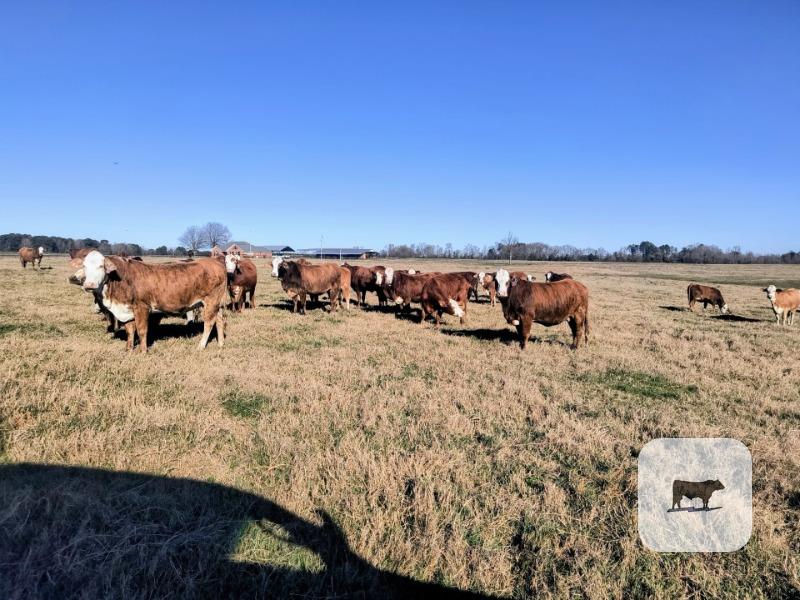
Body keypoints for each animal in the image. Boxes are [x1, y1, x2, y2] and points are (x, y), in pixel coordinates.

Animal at [69, 250, 228, 352]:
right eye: (84, 266)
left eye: (101, 266)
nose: (89, 285)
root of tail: (215, 261)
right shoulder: (127, 309)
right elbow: (130, 330)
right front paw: (129, 349)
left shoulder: (142, 308)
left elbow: (141, 330)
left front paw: (143, 350)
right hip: (216, 304)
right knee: (219, 320)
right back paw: (220, 344)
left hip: (210, 302)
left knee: (209, 323)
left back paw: (201, 346)